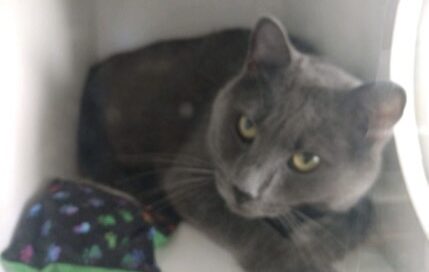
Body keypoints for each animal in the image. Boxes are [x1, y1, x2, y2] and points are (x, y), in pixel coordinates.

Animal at [77, 17, 404, 272]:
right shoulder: (188, 175)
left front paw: (315, 238)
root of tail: (94, 71)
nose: (243, 190)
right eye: (246, 126)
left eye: (306, 159)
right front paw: (294, 259)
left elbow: (364, 214)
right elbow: (246, 228)